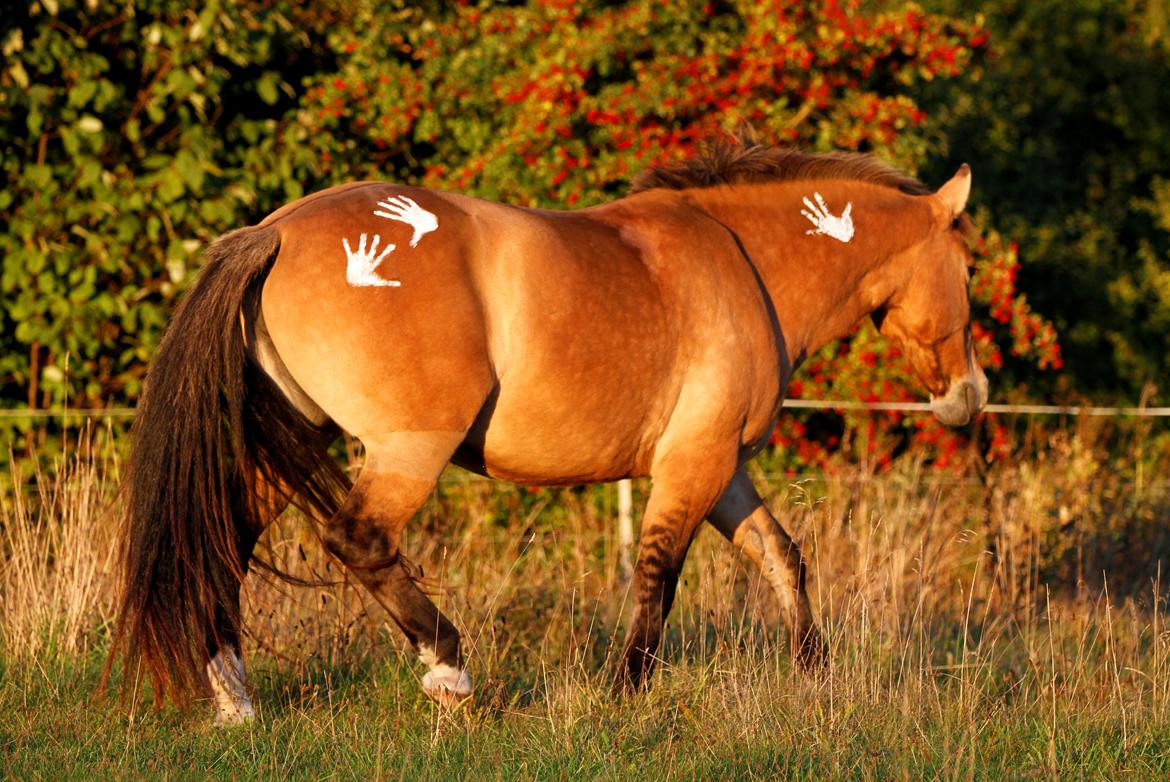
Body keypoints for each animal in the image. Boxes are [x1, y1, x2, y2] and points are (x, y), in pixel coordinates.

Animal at [109, 142, 987, 725]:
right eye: (969, 269)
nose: (969, 398)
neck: (745, 262)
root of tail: (276, 232)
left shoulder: (721, 466)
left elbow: (782, 556)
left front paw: (816, 675)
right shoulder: (694, 466)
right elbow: (659, 574)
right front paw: (626, 692)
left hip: (293, 438)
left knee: (224, 545)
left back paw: (235, 699)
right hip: (406, 451)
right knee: (358, 540)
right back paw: (448, 671)